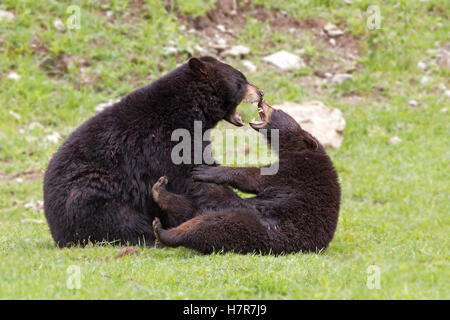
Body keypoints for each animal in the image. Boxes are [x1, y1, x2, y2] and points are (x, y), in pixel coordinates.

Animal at [151, 100, 342, 255]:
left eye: (277, 110)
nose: (263, 101)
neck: (298, 150)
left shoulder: (296, 172)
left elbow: (254, 177)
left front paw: (208, 171)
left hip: (257, 228)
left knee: (210, 224)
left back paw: (165, 231)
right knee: (194, 207)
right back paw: (161, 191)